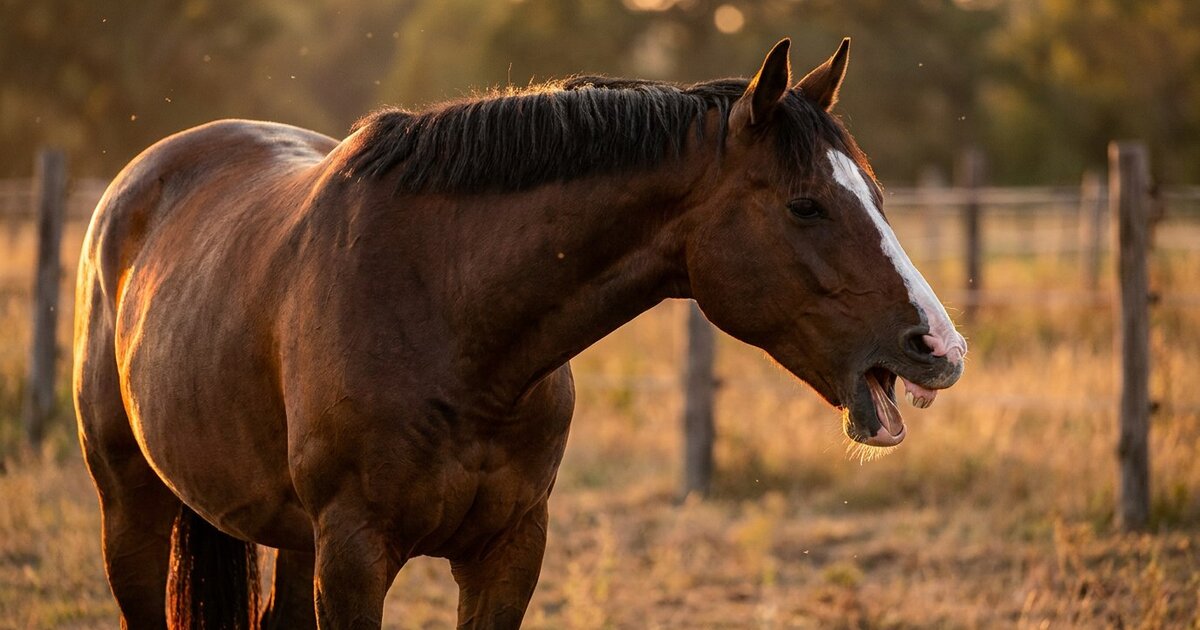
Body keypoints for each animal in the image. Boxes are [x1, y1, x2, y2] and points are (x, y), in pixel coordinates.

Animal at [73, 38, 965, 629]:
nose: (940, 347)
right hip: (132, 508)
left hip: (291, 539)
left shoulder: (508, 553)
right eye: (805, 205)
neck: (447, 319)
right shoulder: (355, 557)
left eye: (877, 196)